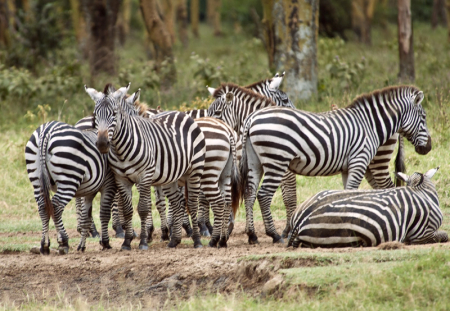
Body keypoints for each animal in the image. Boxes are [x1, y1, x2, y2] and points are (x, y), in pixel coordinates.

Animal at [24, 120, 117, 255]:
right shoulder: (109, 183)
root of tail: (47, 130)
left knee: (42, 206)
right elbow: (104, 213)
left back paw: (45, 245)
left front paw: (82, 245)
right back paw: (63, 242)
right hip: (68, 178)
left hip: (36, 179)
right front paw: (105, 242)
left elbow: (86, 217)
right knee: (56, 206)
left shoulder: (89, 190)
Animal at [85, 84, 207, 250]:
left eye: (114, 114)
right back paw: (174, 240)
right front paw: (127, 241)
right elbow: (129, 210)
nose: (103, 144)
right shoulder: (121, 178)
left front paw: (143, 240)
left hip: (194, 171)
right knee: (176, 203)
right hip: (172, 176)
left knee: (192, 204)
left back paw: (197, 240)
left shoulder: (145, 176)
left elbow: (143, 208)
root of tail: (181, 113)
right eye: (95, 116)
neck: (121, 149)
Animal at [237, 86, 430, 246]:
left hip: (255, 162)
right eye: (424, 117)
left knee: (250, 193)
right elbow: (350, 191)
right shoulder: (359, 161)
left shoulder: (348, 167)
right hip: (277, 160)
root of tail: (252, 118)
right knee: (263, 194)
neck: (370, 125)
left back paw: (252, 235)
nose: (428, 148)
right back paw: (274, 235)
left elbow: (346, 192)